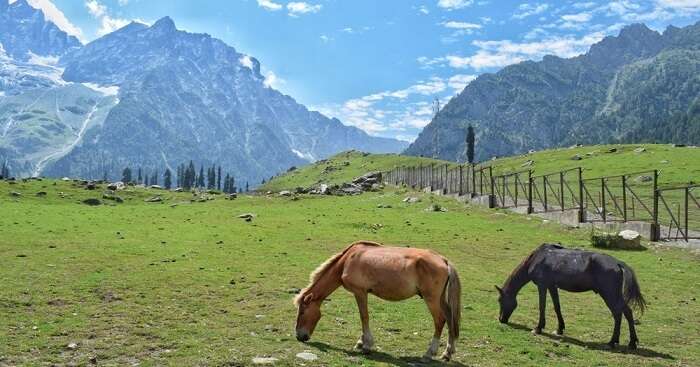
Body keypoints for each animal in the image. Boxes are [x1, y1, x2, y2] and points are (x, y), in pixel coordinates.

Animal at [292, 242, 462, 362]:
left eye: (302, 311)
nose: (300, 336)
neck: (347, 261)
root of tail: (444, 261)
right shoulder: (361, 293)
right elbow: (363, 316)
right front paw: (361, 342)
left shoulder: (360, 292)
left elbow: (364, 316)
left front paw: (366, 345)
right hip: (440, 299)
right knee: (450, 318)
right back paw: (447, 353)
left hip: (431, 299)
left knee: (440, 320)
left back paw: (429, 353)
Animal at [494, 244, 648, 350]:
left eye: (500, 300)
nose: (501, 319)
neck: (538, 258)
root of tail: (617, 263)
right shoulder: (552, 286)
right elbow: (557, 306)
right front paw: (559, 329)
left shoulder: (542, 286)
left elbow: (542, 306)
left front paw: (538, 328)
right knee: (625, 312)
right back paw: (629, 342)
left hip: (609, 294)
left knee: (619, 313)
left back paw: (613, 342)